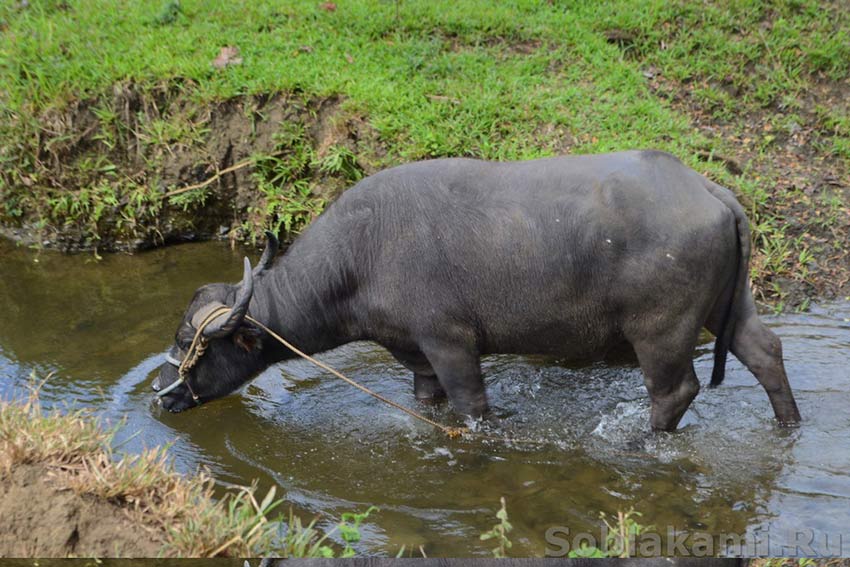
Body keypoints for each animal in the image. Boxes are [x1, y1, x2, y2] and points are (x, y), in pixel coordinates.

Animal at [154, 150, 800, 430]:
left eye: (193, 343)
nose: (162, 395)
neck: (361, 256)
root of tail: (709, 191)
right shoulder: (416, 357)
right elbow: (428, 401)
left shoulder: (450, 343)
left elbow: (472, 407)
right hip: (728, 305)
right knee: (765, 350)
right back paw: (788, 424)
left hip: (661, 330)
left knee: (674, 391)